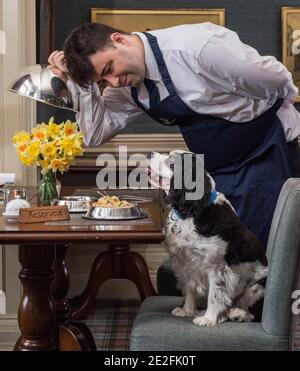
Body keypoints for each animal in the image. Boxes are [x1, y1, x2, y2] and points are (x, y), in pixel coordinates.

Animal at [147, 151, 268, 328]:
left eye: (172, 162)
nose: (150, 154)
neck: (192, 212)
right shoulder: (186, 262)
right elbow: (190, 288)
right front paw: (187, 310)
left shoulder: (217, 268)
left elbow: (214, 296)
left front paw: (208, 319)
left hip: (259, 285)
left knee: (252, 310)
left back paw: (238, 313)